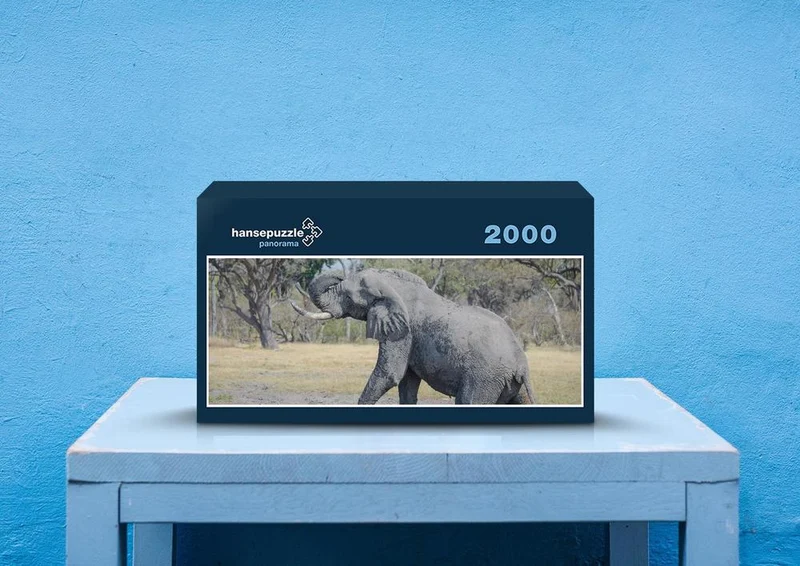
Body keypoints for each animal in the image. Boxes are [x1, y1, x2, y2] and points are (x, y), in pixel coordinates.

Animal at [290, 268, 534, 405]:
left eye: (348, 297)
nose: (339, 273)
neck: (390, 285)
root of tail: (521, 365)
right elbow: (407, 382)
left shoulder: (403, 332)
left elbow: (390, 374)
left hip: (484, 377)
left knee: (469, 401)